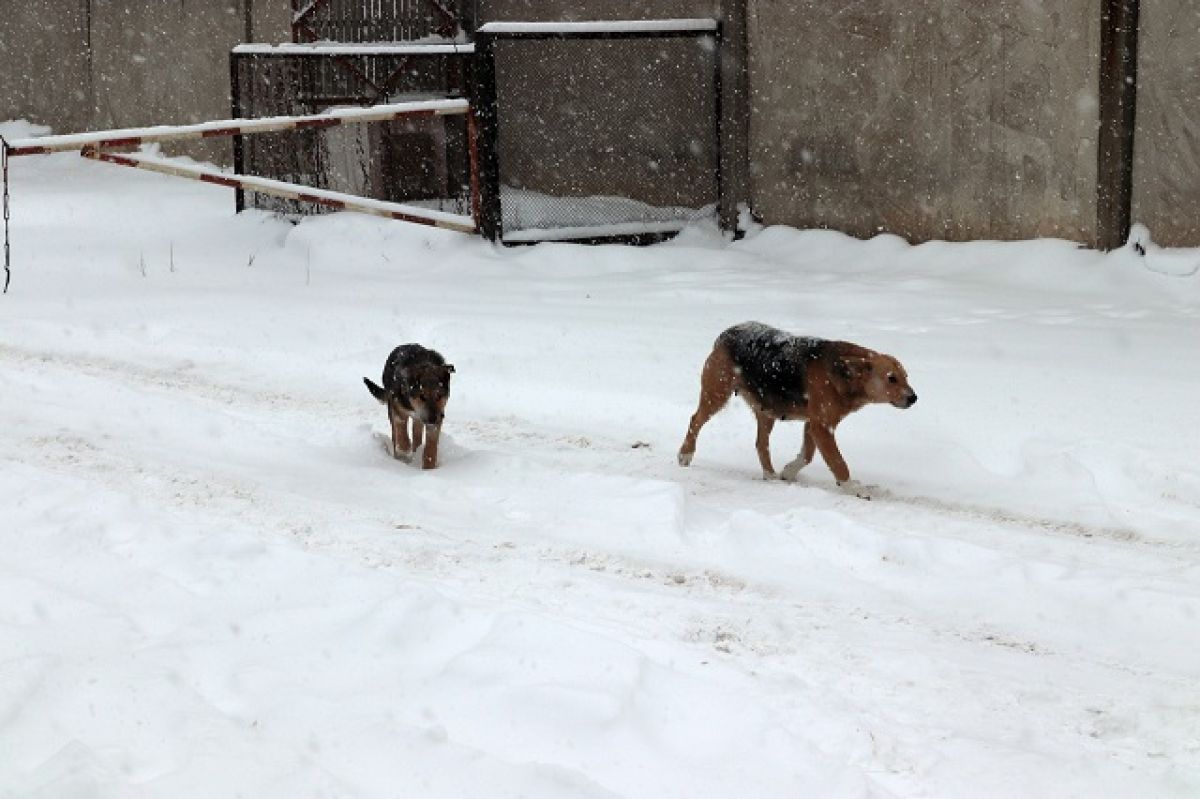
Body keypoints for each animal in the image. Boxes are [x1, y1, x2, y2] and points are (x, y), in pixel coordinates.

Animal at [676, 321, 916, 482]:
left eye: (906, 377)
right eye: (891, 378)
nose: (914, 397)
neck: (842, 373)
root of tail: (727, 333)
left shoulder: (815, 424)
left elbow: (807, 456)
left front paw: (789, 472)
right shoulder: (821, 427)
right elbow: (839, 464)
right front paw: (854, 488)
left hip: (767, 411)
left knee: (761, 444)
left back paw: (770, 475)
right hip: (716, 395)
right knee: (695, 420)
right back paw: (685, 454)